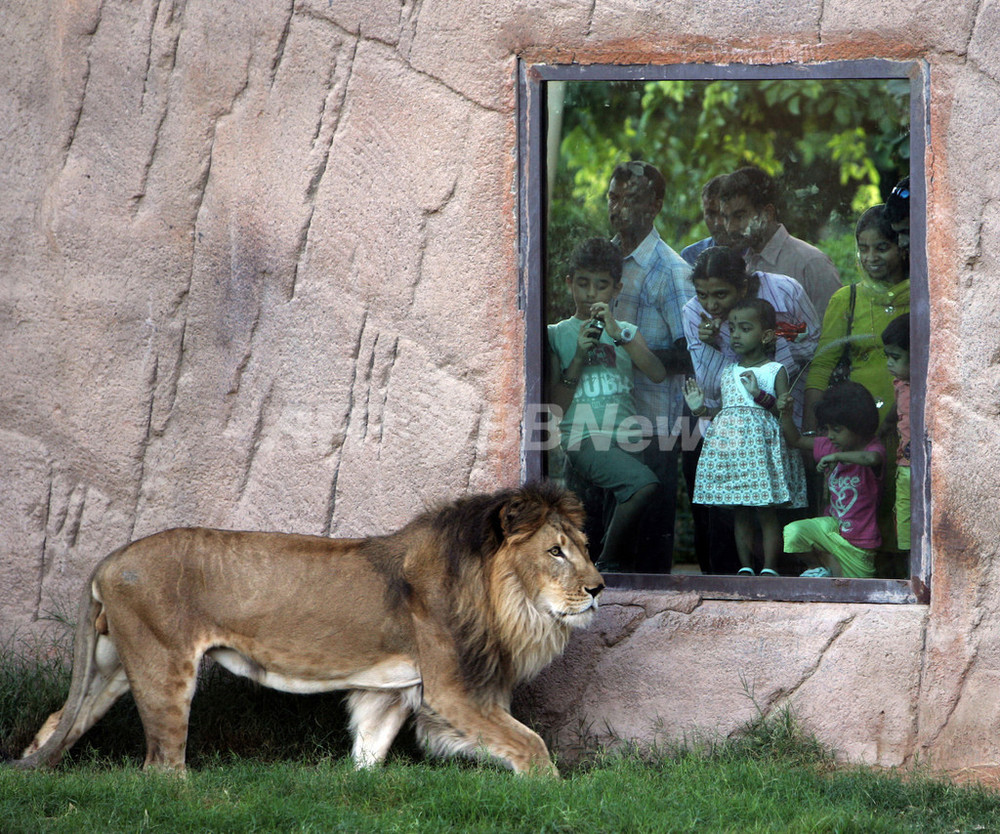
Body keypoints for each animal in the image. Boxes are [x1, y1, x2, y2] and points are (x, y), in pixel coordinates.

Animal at [11, 480, 600, 772]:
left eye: (585, 548)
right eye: (556, 551)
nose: (598, 589)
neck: (505, 600)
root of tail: (110, 558)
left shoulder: (392, 692)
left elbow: (368, 755)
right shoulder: (454, 690)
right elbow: (533, 747)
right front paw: (554, 796)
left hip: (115, 663)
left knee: (59, 722)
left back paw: (33, 772)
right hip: (163, 669)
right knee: (161, 767)